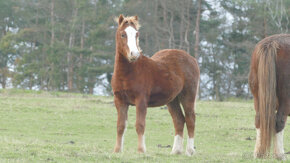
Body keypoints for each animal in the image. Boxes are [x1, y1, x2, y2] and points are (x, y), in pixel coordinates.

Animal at [111, 14, 199, 155]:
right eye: (123, 34)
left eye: (137, 34)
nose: (134, 54)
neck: (128, 73)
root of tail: (192, 59)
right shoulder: (119, 101)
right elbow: (120, 126)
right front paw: (117, 151)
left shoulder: (141, 100)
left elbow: (140, 125)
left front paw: (141, 150)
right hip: (172, 100)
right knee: (179, 120)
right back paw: (176, 151)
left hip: (188, 95)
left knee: (190, 119)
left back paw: (189, 151)